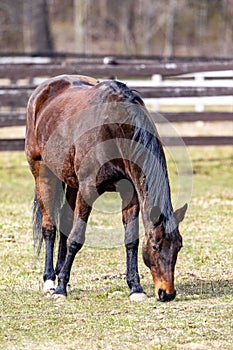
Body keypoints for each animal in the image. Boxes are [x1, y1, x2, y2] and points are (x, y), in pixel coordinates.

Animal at [25, 74, 187, 304]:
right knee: (49, 228)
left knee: (65, 223)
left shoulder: (130, 194)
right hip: (43, 172)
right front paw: (60, 289)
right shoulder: (88, 190)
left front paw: (135, 288)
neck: (114, 128)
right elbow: (76, 238)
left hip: (71, 183)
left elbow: (131, 240)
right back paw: (50, 281)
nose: (167, 293)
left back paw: (59, 274)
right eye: (155, 246)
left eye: (178, 246)